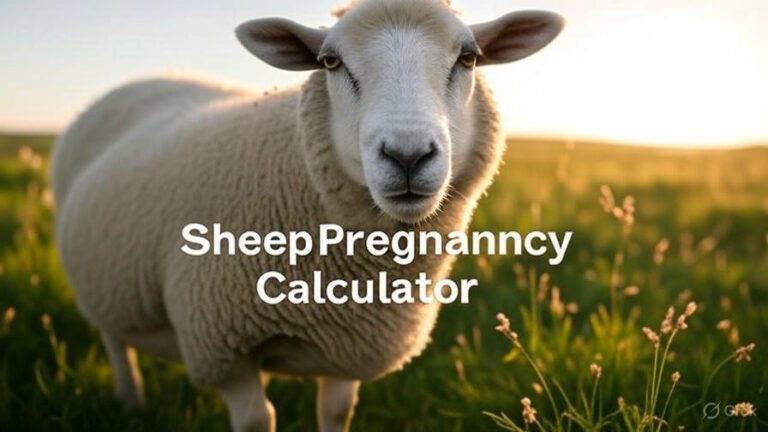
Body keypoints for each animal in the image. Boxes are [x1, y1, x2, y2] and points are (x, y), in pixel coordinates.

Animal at [51, 0, 563, 430]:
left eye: (469, 58)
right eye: (331, 62)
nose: (408, 155)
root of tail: (147, 78)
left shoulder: (351, 348)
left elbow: (336, 412)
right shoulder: (221, 348)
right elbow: (257, 420)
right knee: (114, 341)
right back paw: (130, 398)